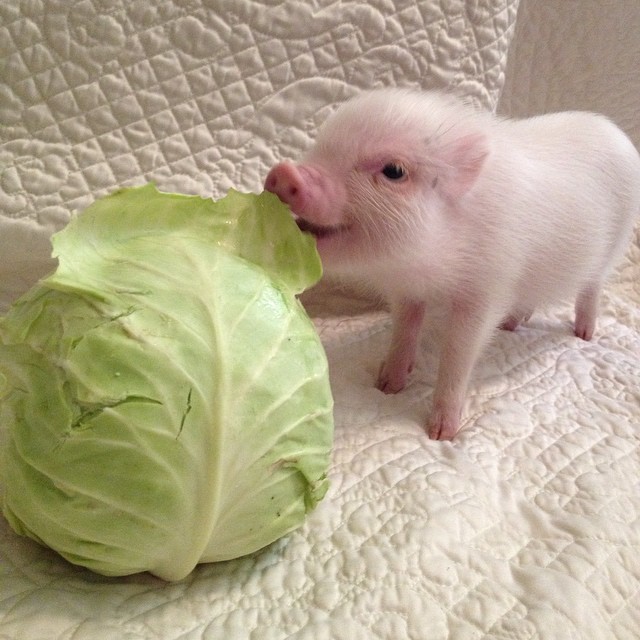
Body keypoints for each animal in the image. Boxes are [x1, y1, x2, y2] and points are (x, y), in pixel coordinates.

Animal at [264, 88, 640, 440]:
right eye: (321, 144)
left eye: (394, 171)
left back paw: (584, 334)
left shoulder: (487, 289)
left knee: (592, 288)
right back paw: (511, 326)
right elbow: (404, 330)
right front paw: (387, 385)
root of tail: (615, 132)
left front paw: (441, 433)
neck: (428, 267)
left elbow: (458, 354)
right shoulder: (407, 292)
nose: (283, 172)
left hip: (616, 244)